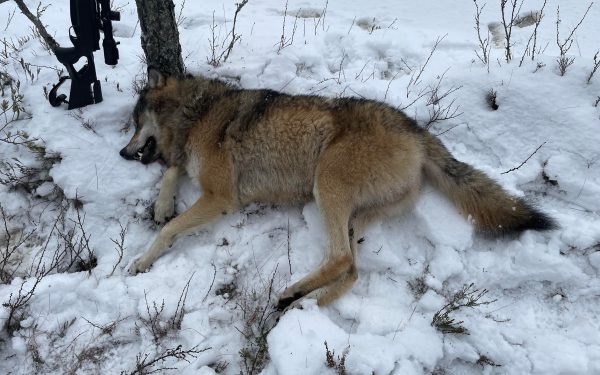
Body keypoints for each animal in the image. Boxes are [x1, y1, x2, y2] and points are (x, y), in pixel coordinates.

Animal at [119, 69, 556, 310]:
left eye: (136, 123)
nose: (122, 153)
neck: (196, 113)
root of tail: (415, 130)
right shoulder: (191, 171)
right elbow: (172, 173)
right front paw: (161, 204)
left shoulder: (222, 198)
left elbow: (169, 228)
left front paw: (142, 260)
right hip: (354, 215)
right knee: (351, 269)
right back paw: (303, 304)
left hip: (325, 184)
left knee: (341, 259)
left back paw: (294, 296)